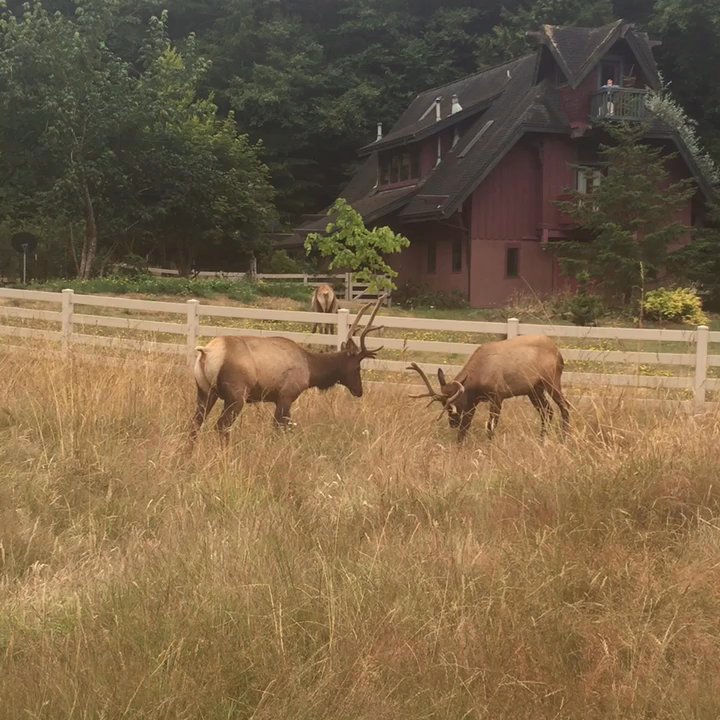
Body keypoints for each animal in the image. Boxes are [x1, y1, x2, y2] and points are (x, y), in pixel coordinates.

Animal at [188, 295, 385, 448]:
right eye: (357, 367)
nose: (359, 391)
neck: (311, 370)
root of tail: (206, 353)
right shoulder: (286, 395)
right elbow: (280, 428)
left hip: (204, 391)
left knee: (194, 424)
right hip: (235, 395)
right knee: (221, 426)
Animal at [407, 334, 569, 442]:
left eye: (455, 404)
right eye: (443, 405)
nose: (452, 423)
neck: (478, 380)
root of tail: (560, 355)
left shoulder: (497, 394)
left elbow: (490, 427)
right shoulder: (474, 399)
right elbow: (465, 426)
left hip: (551, 379)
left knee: (564, 406)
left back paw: (563, 438)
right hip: (534, 389)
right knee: (547, 410)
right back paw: (542, 439)